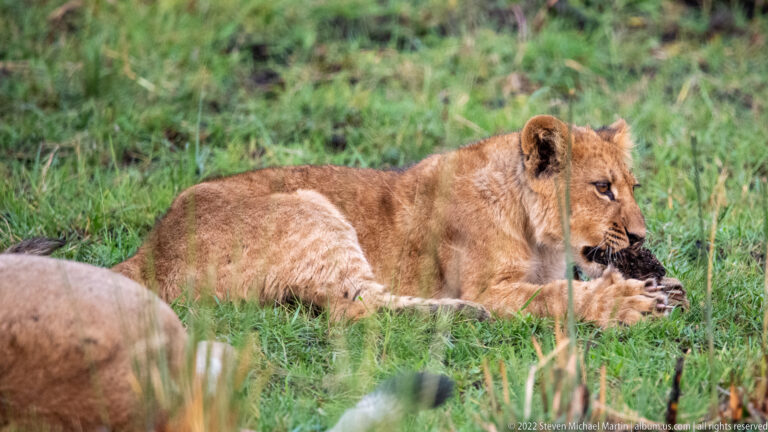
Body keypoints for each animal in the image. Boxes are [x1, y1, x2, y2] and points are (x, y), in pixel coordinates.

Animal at [113, 115, 672, 326]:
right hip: (313, 207)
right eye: (602, 188)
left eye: (633, 188)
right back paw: (461, 314)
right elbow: (558, 296)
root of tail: (146, 252)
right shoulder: (491, 286)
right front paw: (631, 300)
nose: (641, 236)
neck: (538, 234)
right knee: (355, 307)